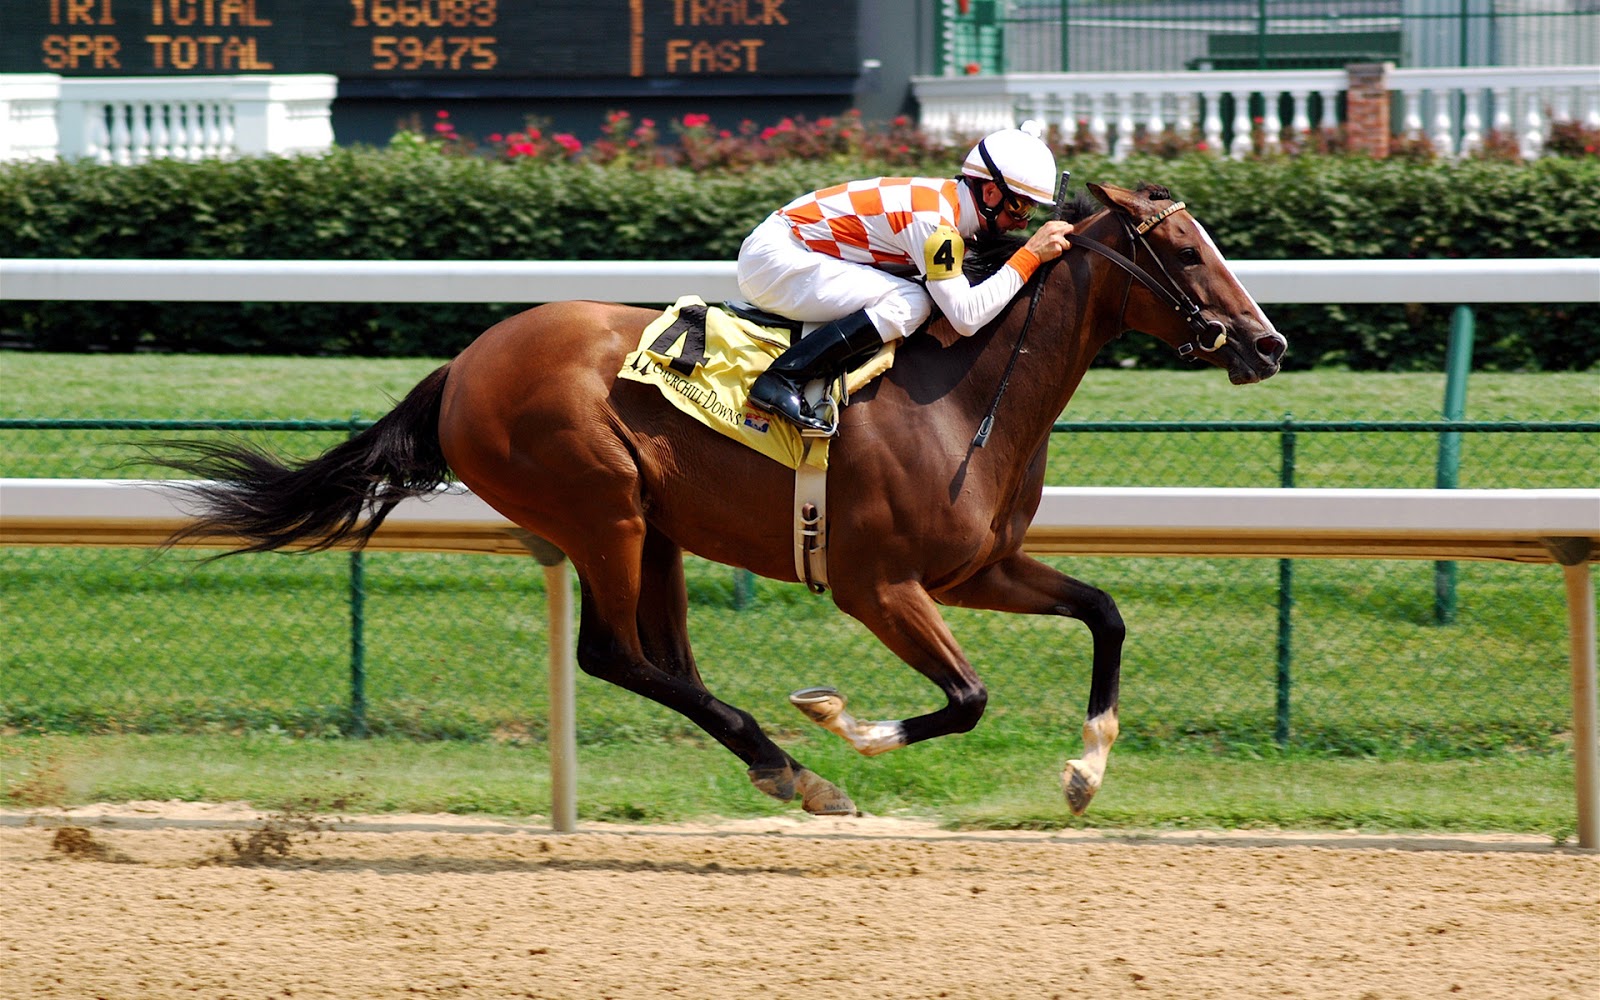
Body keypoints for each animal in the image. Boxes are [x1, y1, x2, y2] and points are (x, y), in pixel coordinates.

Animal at [159, 181, 1287, 818]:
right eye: (1184, 251)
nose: (1269, 342)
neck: (966, 391)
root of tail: (464, 364)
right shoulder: (878, 585)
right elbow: (967, 698)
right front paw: (844, 723)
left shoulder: (976, 568)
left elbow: (1105, 612)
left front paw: (1086, 770)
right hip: (600, 506)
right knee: (614, 655)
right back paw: (797, 767)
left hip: (654, 528)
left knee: (664, 661)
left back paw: (779, 767)